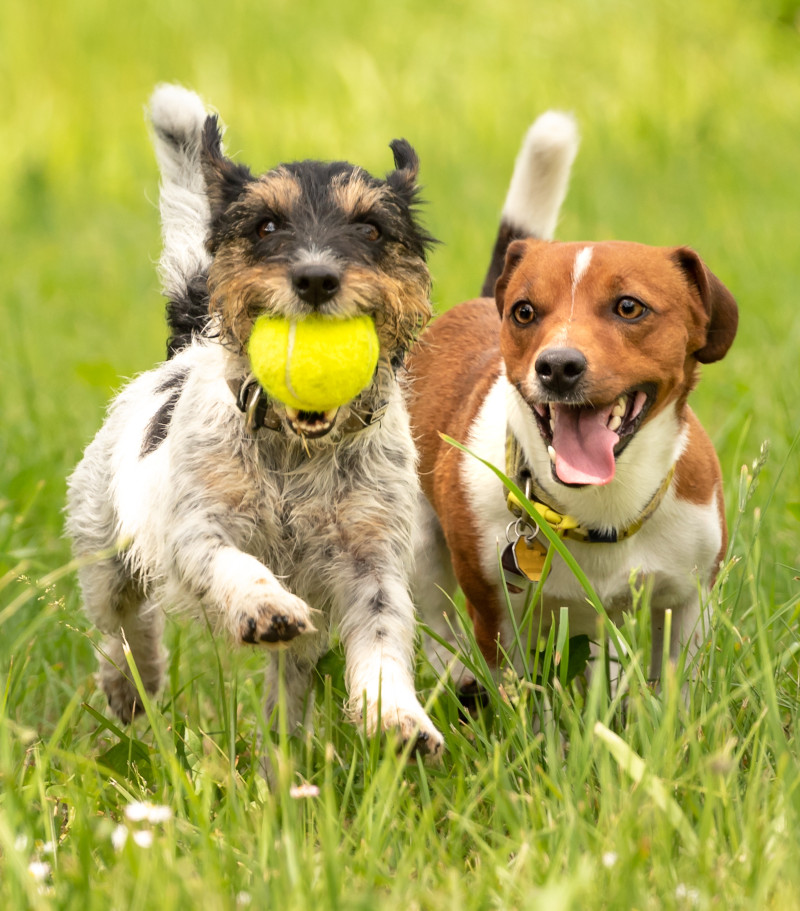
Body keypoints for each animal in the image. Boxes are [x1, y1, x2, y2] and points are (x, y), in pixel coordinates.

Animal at [410, 110, 740, 688]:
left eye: (629, 307)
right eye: (524, 312)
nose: (558, 365)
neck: (599, 511)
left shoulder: (686, 603)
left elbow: (675, 688)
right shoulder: (497, 614)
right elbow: (516, 693)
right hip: (418, 544)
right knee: (435, 622)